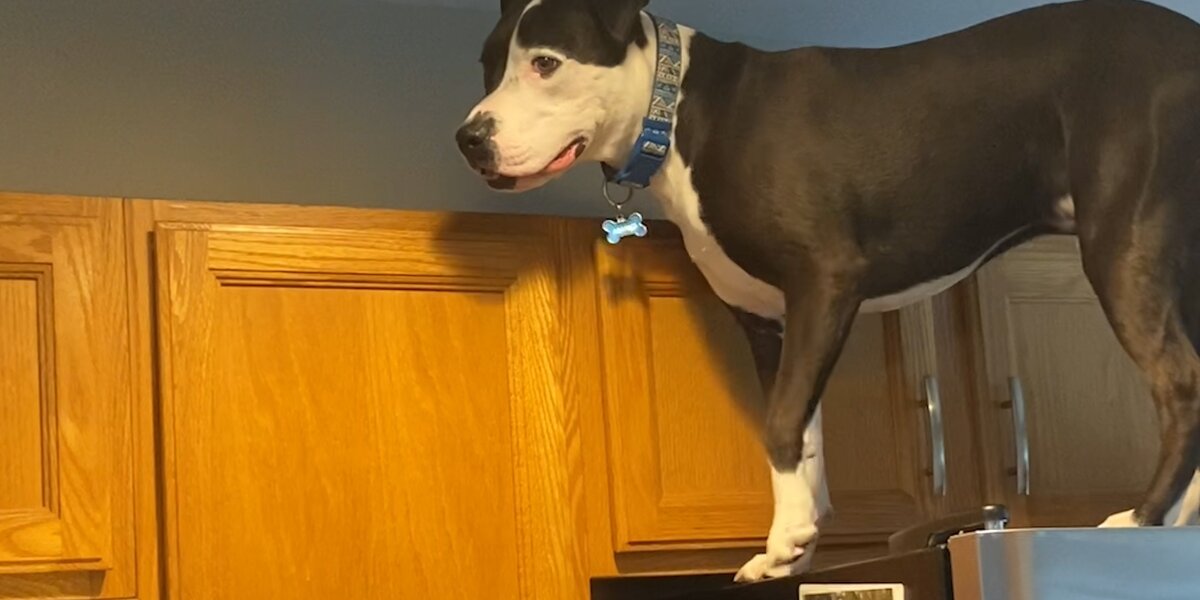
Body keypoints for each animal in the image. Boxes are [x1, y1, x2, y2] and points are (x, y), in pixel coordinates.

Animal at [453, 0, 1200, 580]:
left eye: (546, 63)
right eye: (487, 64)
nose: (468, 138)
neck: (681, 108)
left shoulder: (825, 281)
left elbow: (782, 423)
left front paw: (787, 539)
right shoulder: (768, 322)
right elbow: (802, 435)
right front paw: (795, 546)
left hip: (1121, 247)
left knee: (1178, 382)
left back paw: (1141, 518)